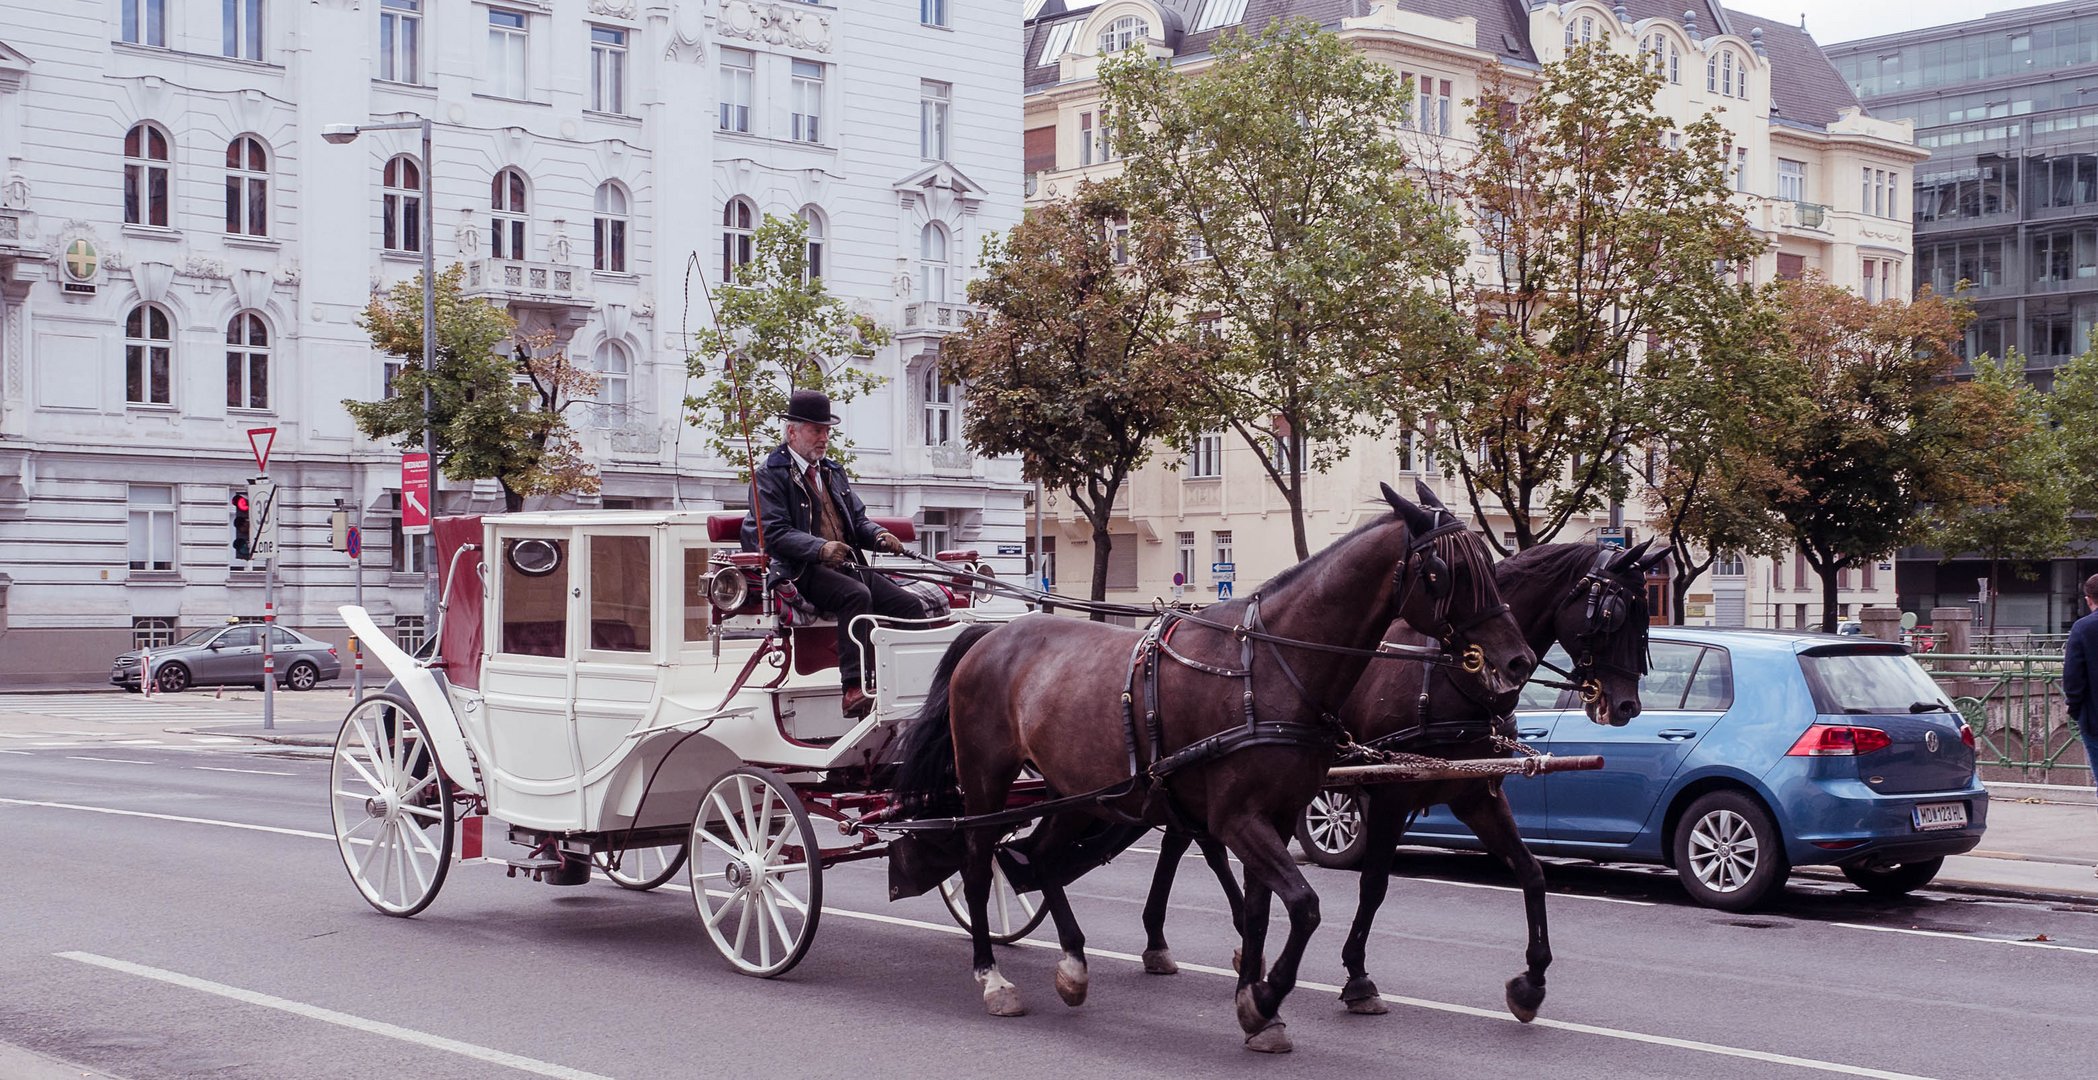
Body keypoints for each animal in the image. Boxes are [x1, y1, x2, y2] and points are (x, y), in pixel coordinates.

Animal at [893, 486, 1535, 1052]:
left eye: (1489, 559)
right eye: (1449, 571)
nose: (1518, 660)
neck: (1272, 668)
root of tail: (990, 634)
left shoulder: (1275, 819)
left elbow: (1260, 910)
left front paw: (1258, 1004)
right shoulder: (1238, 819)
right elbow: (1303, 906)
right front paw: (1265, 997)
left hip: (1078, 791)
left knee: (1040, 856)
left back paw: (1074, 963)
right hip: (987, 781)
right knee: (980, 867)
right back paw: (992, 977)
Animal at [1141, 545, 1661, 1027]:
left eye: (1644, 611)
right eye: (1614, 614)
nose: (1626, 706)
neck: (1453, 674)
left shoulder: (1476, 796)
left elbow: (1531, 872)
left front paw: (1531, 982)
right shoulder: (1392, 795)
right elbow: (1374, 884)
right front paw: (1357, 978)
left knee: (1183, 841)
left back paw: (1167, 940)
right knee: (1200, 844)